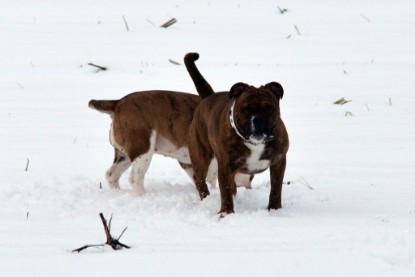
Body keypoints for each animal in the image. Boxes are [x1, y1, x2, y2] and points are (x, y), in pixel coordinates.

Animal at [89, 89, 219, 193]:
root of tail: (118, 103)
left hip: (124, 155)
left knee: (111, 175)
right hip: (143, 150)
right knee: (135, 178)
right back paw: (144, 196)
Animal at [185, 52, 290, 215]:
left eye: (269, 108)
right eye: (246, 109)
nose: (258, 119)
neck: (255, 143)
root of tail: (208, 97)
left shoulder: (279, 162)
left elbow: (276, 189)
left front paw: (274, 210)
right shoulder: (225, 166)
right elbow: (225, 191)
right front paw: (226, 213)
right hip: (200, 156)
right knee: (199, 179)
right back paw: (206, 197)